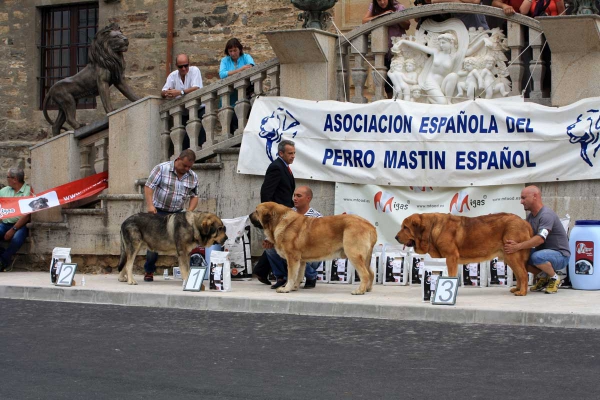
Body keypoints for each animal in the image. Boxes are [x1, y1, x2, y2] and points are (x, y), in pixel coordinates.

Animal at [396, 214, 532, 296]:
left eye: (405, 228)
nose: (395, 237)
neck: (432, 229)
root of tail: (524, 222)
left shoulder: (451, 258)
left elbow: (451, 275)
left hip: (513, 255)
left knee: (523, 274)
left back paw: (522, 292)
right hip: (510, 257)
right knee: (519, 275)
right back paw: (517, 289)